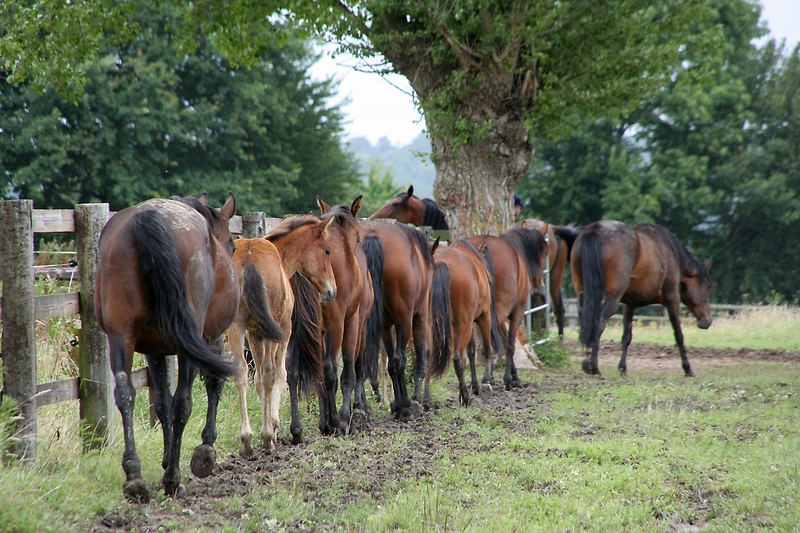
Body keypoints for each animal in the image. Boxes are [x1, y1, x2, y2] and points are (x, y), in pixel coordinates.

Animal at [96, 193, 238, 500]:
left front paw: (165, 458)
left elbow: (160, 402)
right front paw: (205, 450)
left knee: (125, 394)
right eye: (232, 245)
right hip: (189, 345)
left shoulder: (154, 350)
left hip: (120, 335)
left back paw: (134, 476)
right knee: (183, 401)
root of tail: (148, 217)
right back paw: (173, 478)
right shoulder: (211, 339)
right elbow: (211, 384)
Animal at [227, 214, 336, 456]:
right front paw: (273, 427)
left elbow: (258, 379)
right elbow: (279, 374)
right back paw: (267, 438)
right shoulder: (283, 330)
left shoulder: (254, 333)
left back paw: (246, 440)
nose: (331, 290)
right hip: (274, 330)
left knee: (241, 372)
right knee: (270, 371)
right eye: (327, 251)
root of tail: (249, 257)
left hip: (236, 328)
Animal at [428, 239, 504, 406]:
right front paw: (486, 380)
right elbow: (486, 349)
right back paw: (464, 396)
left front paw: (475, 385)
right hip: (465, 323)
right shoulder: (483, 317)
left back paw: (424, 400)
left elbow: (471, 350)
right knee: (458, 359)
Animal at [572, 219, 716, 374]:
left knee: (586, 323)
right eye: (708, 286)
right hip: (612, 298)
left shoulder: (629, 305)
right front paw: (687, 369)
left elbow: (626, 337)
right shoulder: (672, 300)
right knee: (598, 323)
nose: (708, 321)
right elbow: (679, 335)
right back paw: (593, 366)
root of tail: (595, 230)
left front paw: (622, 368)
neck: (670, 253)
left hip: (583, 294)